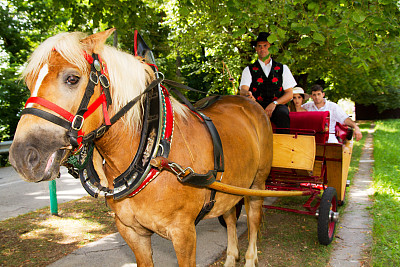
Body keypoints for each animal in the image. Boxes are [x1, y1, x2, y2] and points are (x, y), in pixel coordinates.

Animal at [9, 28, 274, 266]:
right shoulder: (131, 231)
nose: (22, 156)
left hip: (257, 183)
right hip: (230, 185)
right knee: (229, 216)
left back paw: (250, 258)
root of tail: (246, 101)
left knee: (253, 217)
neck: (154, 154)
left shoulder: (184, 234)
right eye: (29, 83)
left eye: (72, 78)